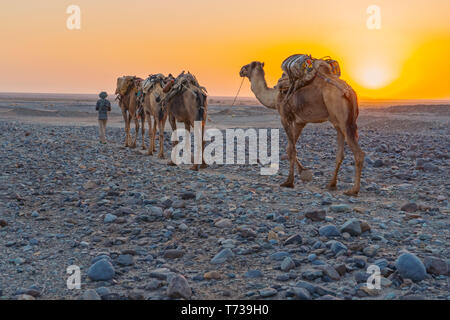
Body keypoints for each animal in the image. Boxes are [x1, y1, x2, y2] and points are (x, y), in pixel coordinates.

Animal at [239, 60, 366, 195]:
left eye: (248, 65)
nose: (241, 70)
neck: (274, 97)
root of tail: (350, 92)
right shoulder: (301, 122)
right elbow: (289, 148)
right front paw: (304, 172)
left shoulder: (285, 117)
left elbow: (291, 149)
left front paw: (289, 182)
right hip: (337, 121)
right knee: (340, 154)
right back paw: (331, 184)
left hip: (343, 119)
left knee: (359, 153)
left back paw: (353, 190)